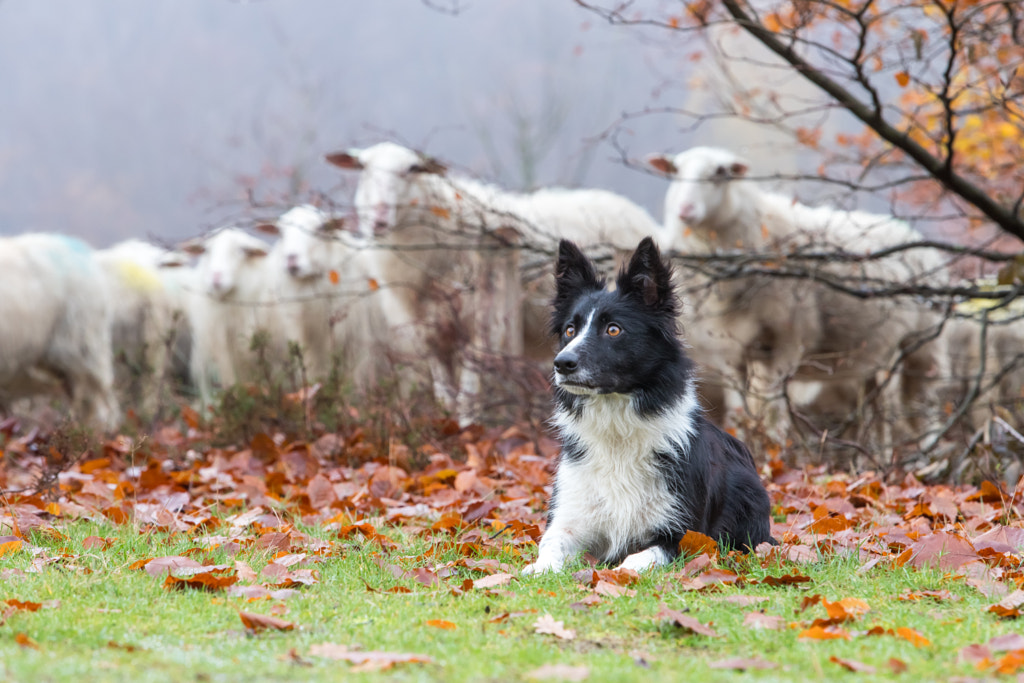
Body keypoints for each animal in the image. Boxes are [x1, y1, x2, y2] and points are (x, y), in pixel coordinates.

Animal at [327, 142, 659, 423]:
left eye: (411, 170)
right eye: (363, 169)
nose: (378, 219)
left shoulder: (478, 325)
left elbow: (470, 389)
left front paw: (467, 427)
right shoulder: (431, 331)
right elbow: (443, 391)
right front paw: (447, 424)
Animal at [524, 237, 770, 573]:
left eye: (613, 329)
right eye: (570, 330)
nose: (562, 363)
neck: (617, 427)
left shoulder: (682, 536)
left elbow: (638, 557)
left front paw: (619, 574)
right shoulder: (568, 519)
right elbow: (550, 546)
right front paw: (538, 569)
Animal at [647, 145, 950, 448]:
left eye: (720, 173)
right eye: (676, 172)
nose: (685, 211)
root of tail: (912, 233)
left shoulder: (788, 341)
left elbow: (772, 411)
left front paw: (776, 447)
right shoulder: (732, 350)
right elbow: (739, 410)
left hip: (920, 348)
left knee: (918, 408)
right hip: (875, 352)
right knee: (877, 415)